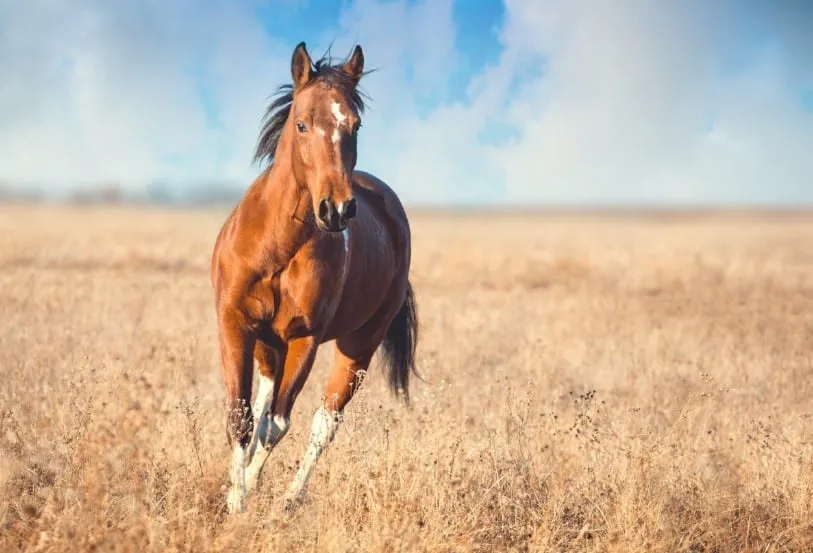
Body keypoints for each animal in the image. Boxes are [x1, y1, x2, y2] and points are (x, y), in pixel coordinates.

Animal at [209, 42, 418, 512]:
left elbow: (277, 425)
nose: (336, 209)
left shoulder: (303, 339)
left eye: (355, 125)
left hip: (357, 346)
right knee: (263, 406)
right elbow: (242, 418)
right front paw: (235, 499)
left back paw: (288, 501)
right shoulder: (236, 323)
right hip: (269, 345)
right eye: (302, 124)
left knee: (325, 422)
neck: (277, 247)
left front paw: (245, 500)